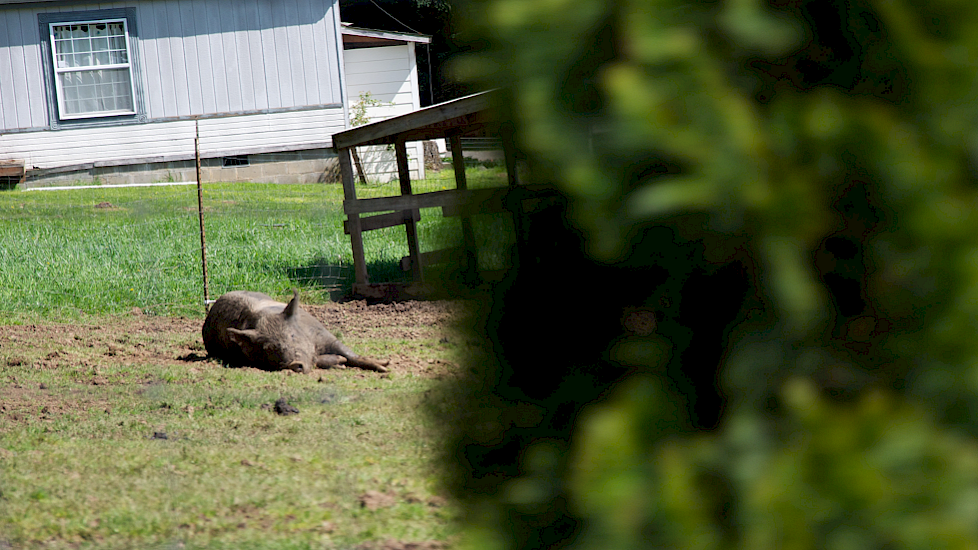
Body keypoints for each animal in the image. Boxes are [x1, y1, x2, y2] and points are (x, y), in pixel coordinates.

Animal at [202, 288, 388, 376]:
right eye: (268, 349)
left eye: (292, 336)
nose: (293, 364)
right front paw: (340, 362)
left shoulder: (323, 334)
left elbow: (352, 355)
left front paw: (385, 366)